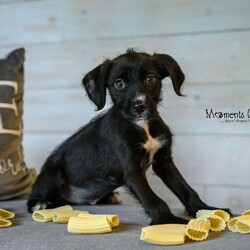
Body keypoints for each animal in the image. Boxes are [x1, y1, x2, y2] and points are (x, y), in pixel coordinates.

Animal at [27, 49, 230, 225]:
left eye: (150, 79)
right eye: (118, 84)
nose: (139, 106)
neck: (142, 126)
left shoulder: (164, 161)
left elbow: (186, 189)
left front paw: (206, 209)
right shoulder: (132, 170)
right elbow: (152, 199)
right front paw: (168, 221)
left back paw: (109, 197)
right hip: (53, 174)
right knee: (32, 200)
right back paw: (41, 204)